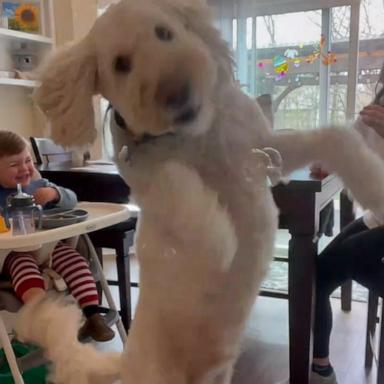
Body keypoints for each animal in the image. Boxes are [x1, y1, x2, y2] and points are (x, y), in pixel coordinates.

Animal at [16, 0, 384, 384]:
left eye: (164, 32)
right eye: (120, 64)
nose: (178, 93)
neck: (197, 138)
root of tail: (122, 364)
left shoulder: (265, 149)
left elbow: (336, 137)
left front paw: (376, 187)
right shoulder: (151, 178)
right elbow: (175, 184)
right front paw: (220, 241)